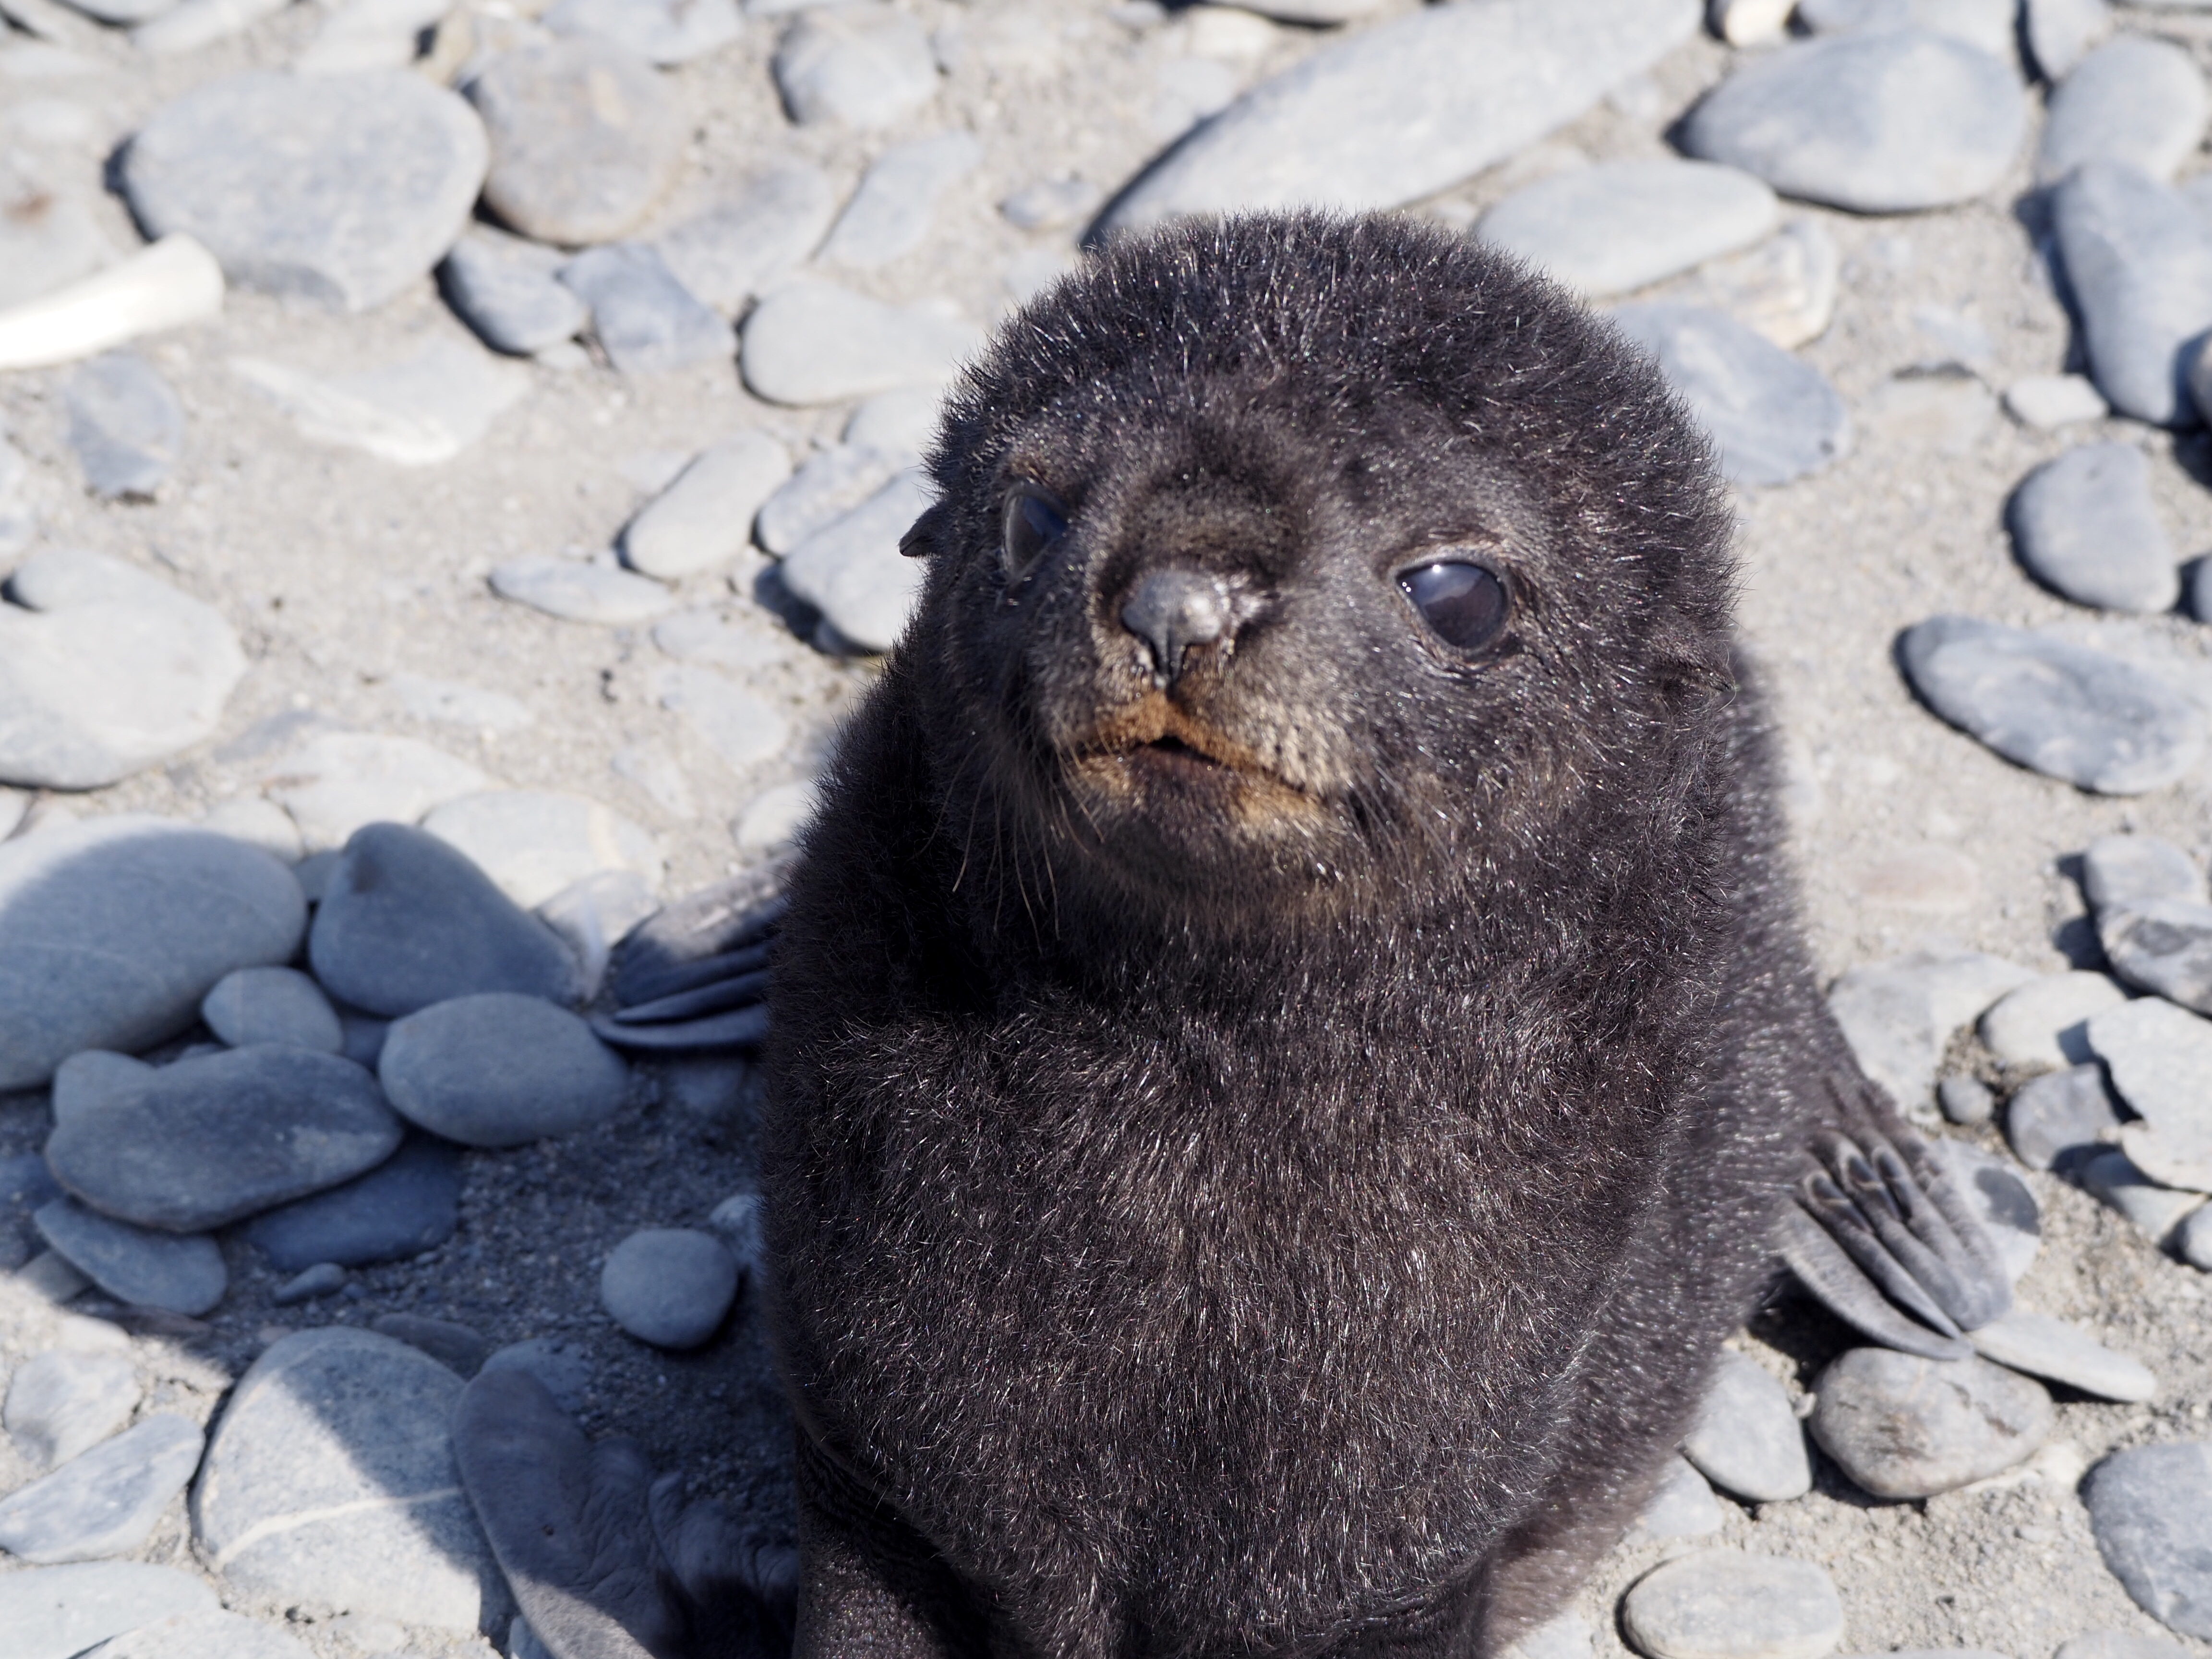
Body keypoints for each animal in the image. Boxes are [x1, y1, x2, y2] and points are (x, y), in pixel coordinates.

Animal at [456, 211, 2006, 1659]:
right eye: (1028, 515)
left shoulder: (1391, 1572)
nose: (1176, 597)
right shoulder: (877, 1496)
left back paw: (1904, 1229)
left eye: (1457, 590)